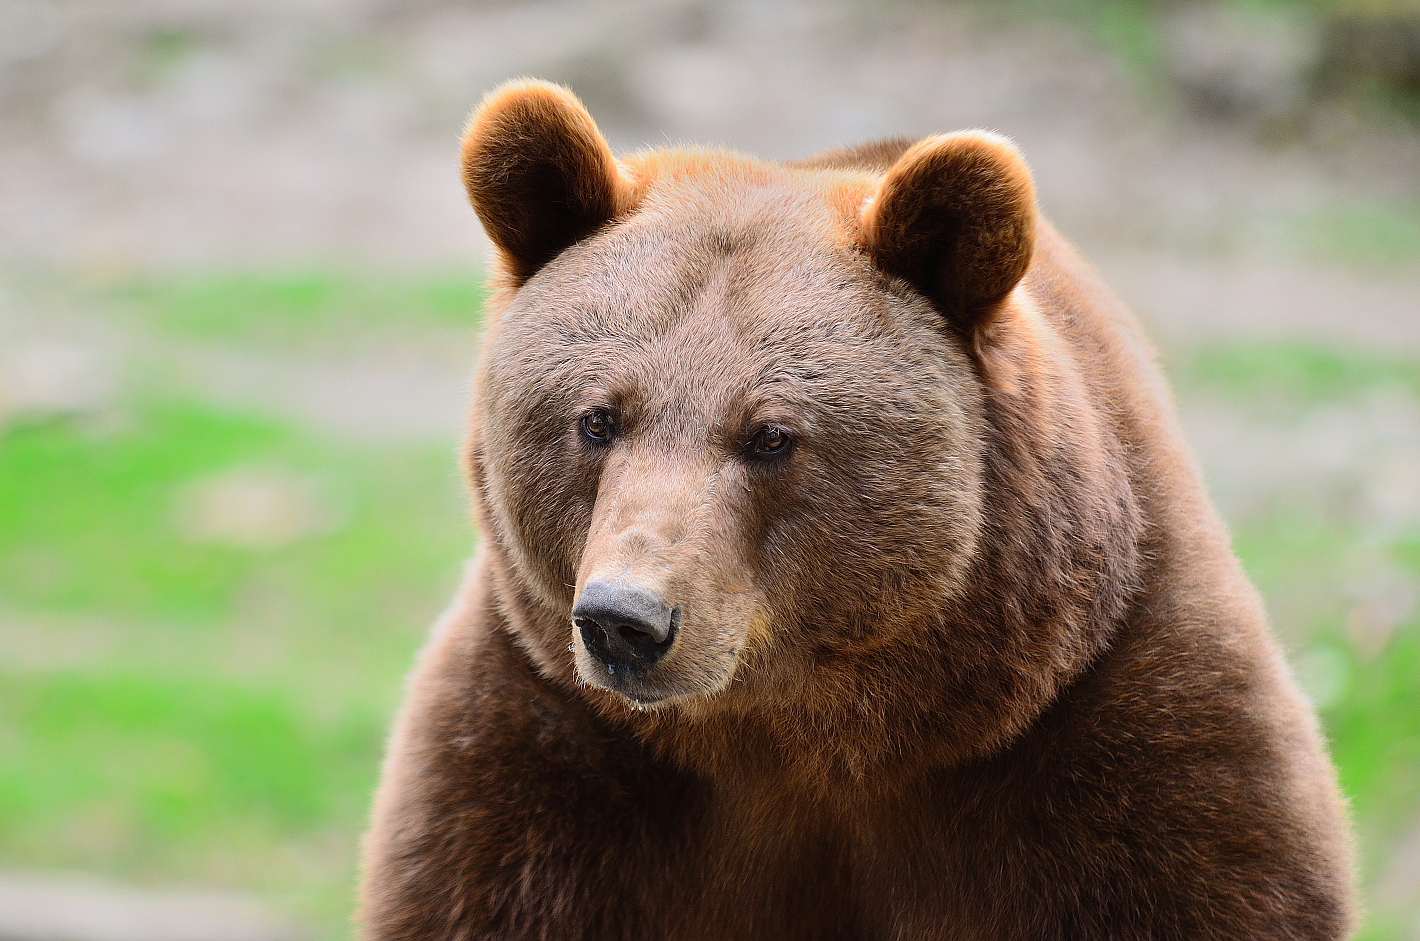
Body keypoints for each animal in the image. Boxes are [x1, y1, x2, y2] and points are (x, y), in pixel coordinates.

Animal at [355, 82, 1351, 941]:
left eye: (770, 435)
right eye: (597, 418)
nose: (624, 621)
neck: (812, 738)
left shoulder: (1124, 736)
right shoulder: (547, 758)